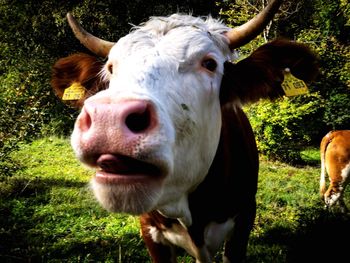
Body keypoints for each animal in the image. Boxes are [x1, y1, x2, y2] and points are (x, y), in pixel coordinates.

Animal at [50, 1, 318, 262]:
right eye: (111, 67)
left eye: (209, 63)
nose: (109, 118)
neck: (191, 214)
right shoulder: (150, 230)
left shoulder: (243, 221)